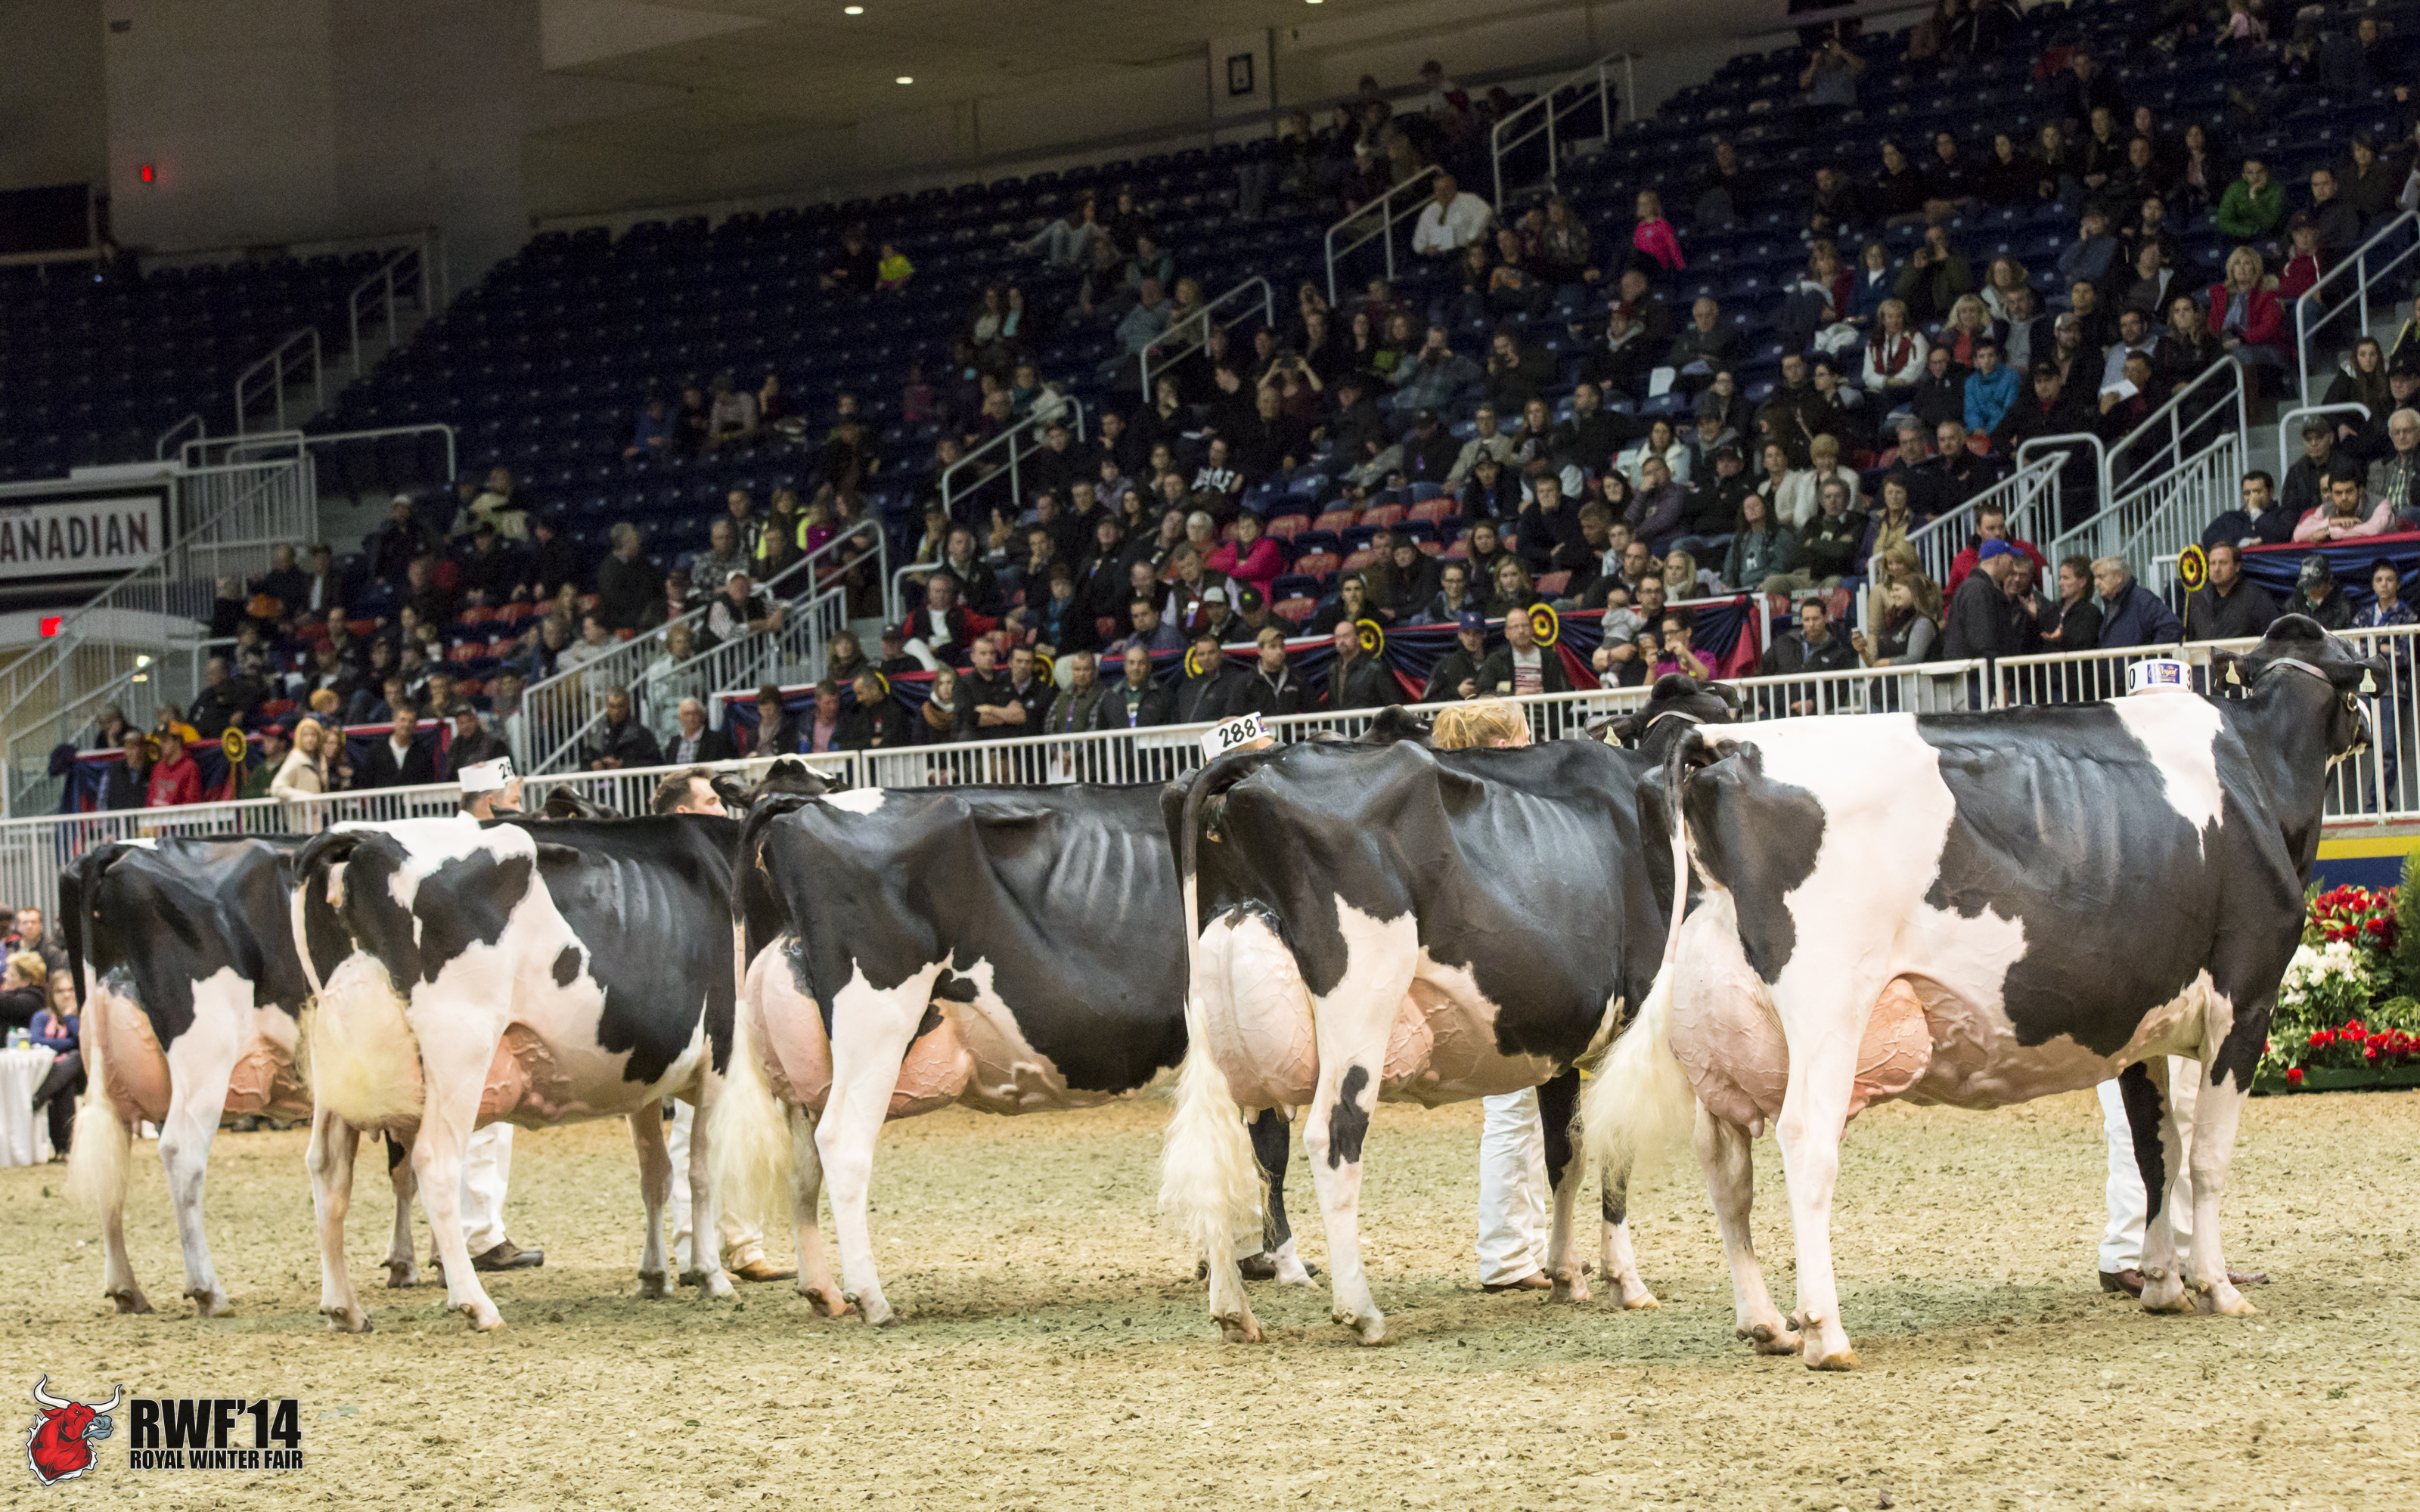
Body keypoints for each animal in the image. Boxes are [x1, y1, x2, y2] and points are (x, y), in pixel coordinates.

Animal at [293, 809, 772, 1331]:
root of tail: (364, 835)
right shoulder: (720, 1060)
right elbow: (701, 1173)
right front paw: (711, 1276)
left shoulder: (642, 1079)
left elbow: (656, 1175)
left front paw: (654, 1276)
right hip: (459, 1046)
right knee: (434, 1162)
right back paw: (476, 1303)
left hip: (341, 1059)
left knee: (326, 1168)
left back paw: (344, 1307)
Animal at [711, 779, 1315, 1327]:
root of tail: (798, 807)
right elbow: (1270, 1154)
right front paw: (1282, 1263)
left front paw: (1227, 1261)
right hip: (874, 1021)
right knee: (842, 1144)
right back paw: (872, 1299)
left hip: (804, 1067)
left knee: (802, 1166)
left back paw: (823, 1291)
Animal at [1158, 675, 1738, 1345]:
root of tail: (1258, 763)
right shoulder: (1628, 1026)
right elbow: (1614, 1148)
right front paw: (1627, 1281)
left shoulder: (1560, 1042)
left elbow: (1565, 1154)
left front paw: (1567, 1274)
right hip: (1359, 1002)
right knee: (1333, 1137)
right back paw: (1360, 1310)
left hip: (1214, 1022)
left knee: (1225, 1150)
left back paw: (1232, 1309)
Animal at [1583, 616, 2380, 1370]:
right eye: (2356, 672)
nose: (2369, 723)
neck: (2255, 770)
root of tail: (1726, 746)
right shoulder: (2246, 999)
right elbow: (2207, 1158)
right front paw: (2215, 1285)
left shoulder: (2141, 1022)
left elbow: (2157, 1150)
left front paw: (2161, 1284)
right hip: (1828, 1005)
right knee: (1806, 1142)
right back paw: (1825, 1332)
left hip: (1712, 1030)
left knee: (1726, 1168)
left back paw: (1764, 1323)